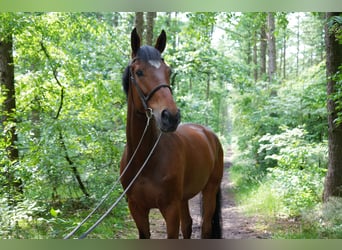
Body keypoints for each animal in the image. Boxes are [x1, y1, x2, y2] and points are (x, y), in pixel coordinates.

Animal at [120, 28, 224, 239]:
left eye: (168, 71)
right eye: (139, 72)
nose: (171, 116)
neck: (145, 160)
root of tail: (208, 134)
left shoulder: (170, 208)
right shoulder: (137, 209)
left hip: (209, 190)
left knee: (206, 228)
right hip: (184, 198)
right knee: (188, 225)